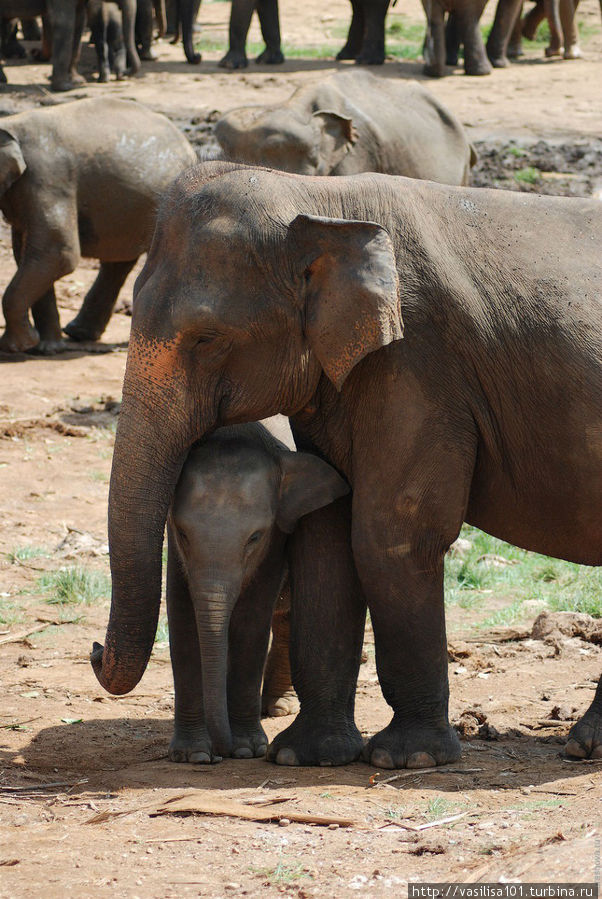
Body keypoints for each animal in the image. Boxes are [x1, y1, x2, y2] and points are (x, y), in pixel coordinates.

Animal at [0, 96, 196, 354]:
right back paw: (78, 333)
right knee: (118, 262)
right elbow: (30, 253)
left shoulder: (47, 179)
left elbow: (58, 253)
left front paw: (15, 347)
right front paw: (45, 348)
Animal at [166, 418, 350, 764]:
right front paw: (192, 754)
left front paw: (246, 749)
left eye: (254, 537)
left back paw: (279, 707)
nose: (219, 753)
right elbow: (182, 616)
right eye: (183, 533)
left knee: (286, 618)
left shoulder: (276, 537)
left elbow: (252, 618)